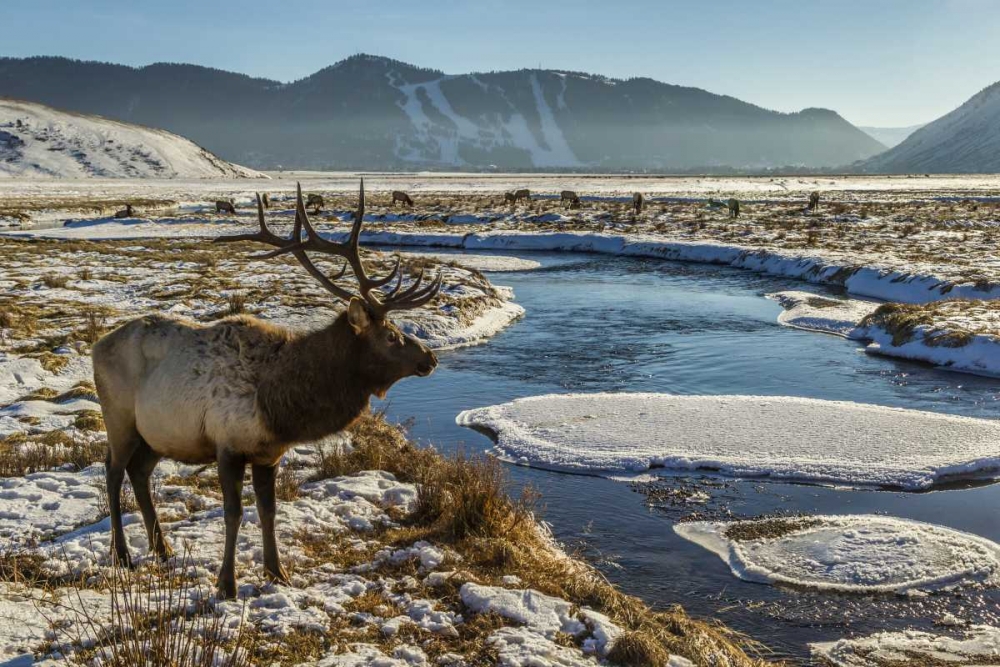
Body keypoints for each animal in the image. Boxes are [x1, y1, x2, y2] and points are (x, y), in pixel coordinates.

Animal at [92, 180, 442, 599]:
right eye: (390, 335)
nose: (429, 358)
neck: (281, 406)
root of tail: (96, 347)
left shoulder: (268, 454)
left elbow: (268, 511)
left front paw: (277, 572)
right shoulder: (227, 445)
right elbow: (234, 513)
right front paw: (226, 584)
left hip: (158, 434)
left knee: (139, 472)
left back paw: (163, 549)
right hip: (119, 418)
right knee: (112, 471)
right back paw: (123, 554)